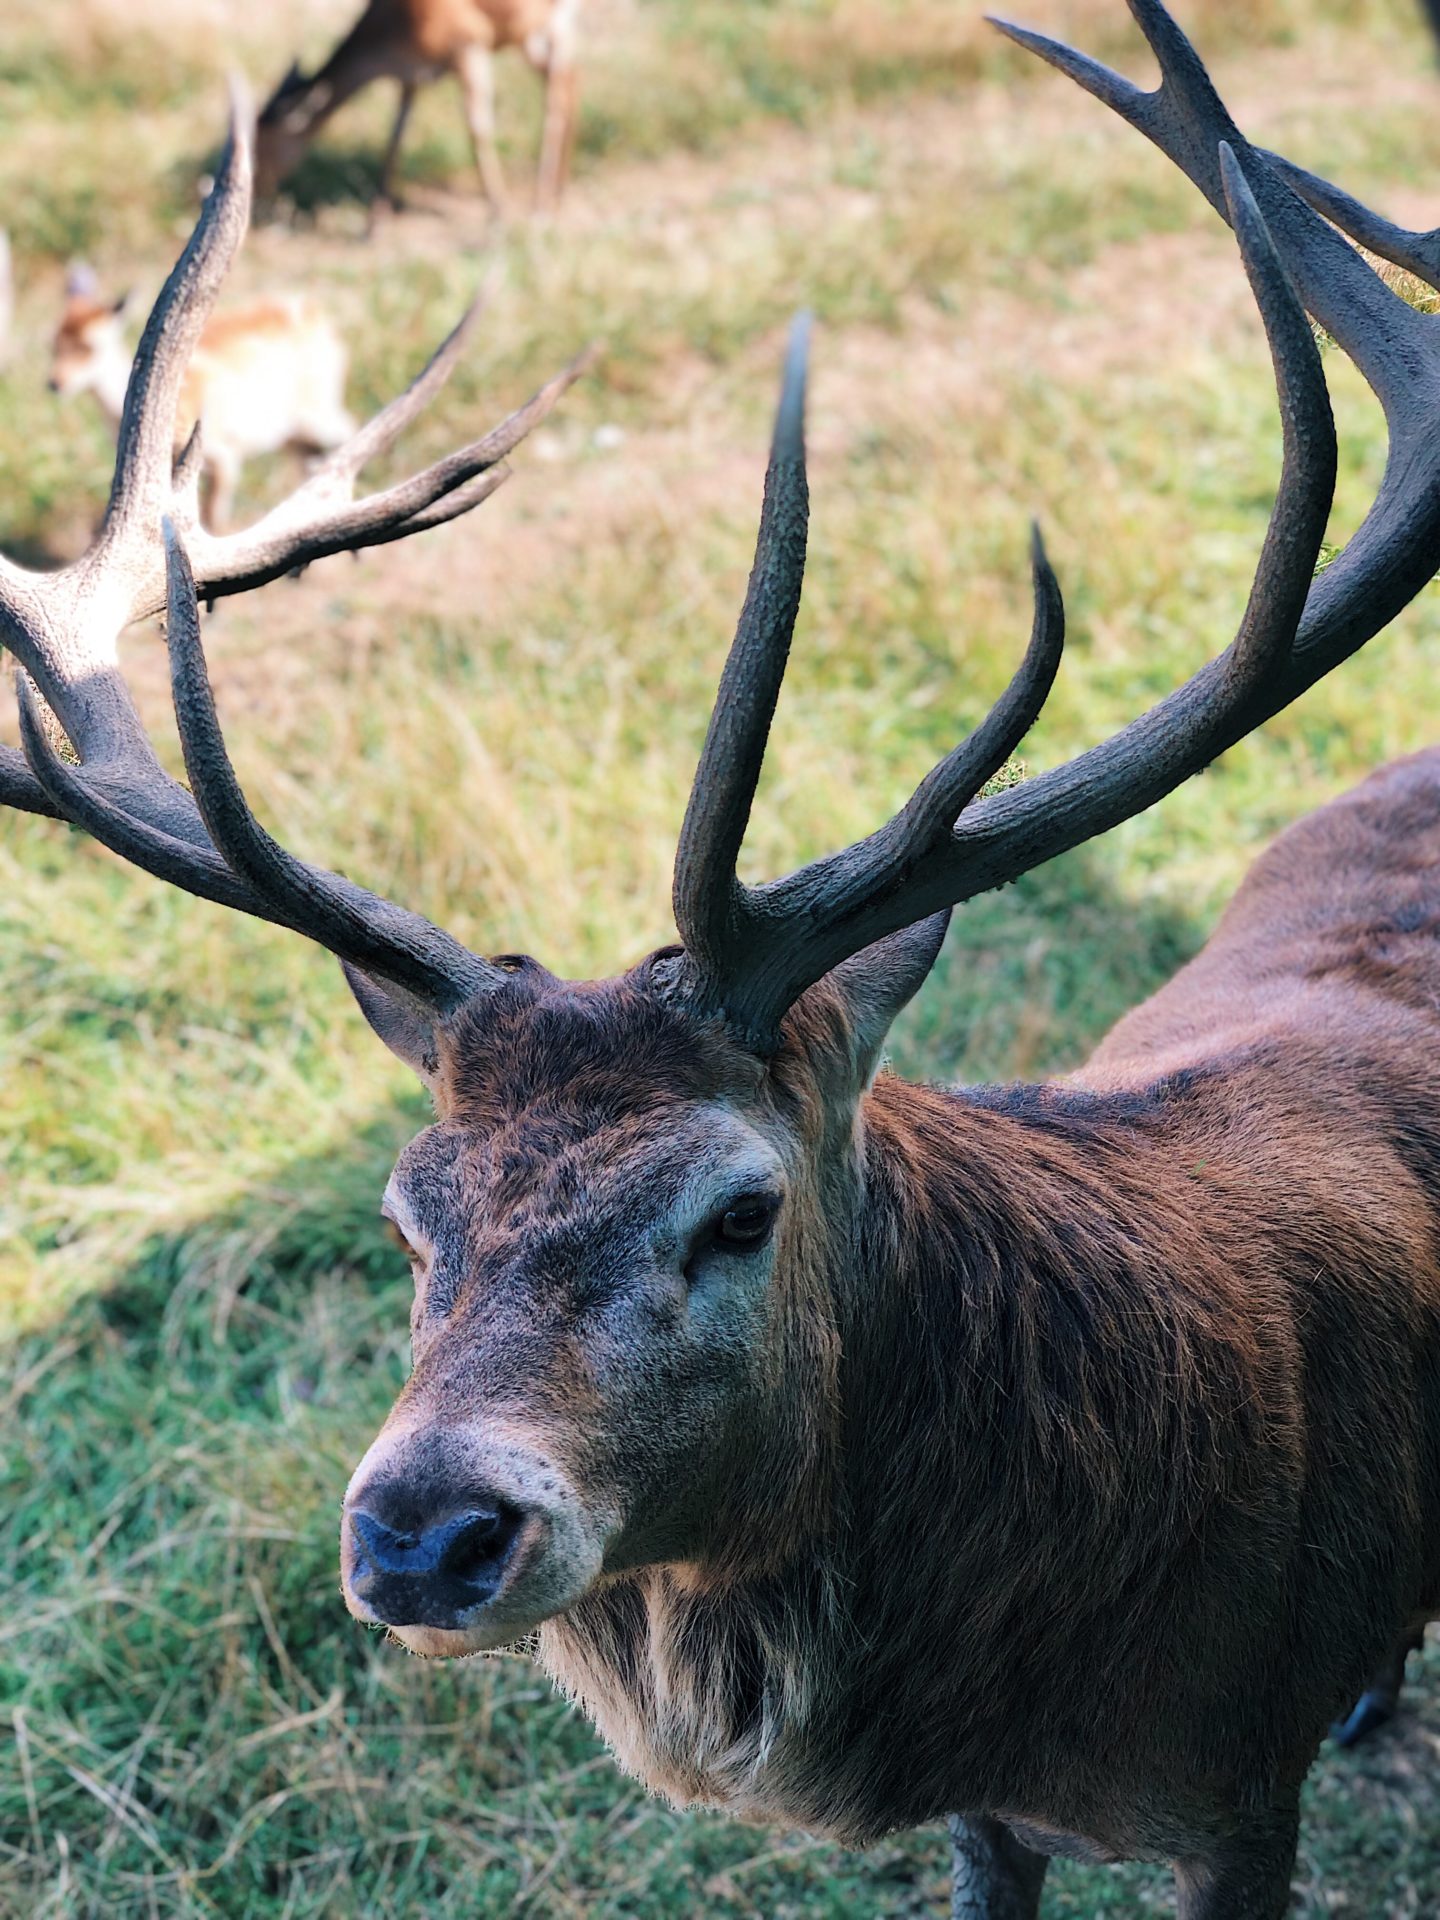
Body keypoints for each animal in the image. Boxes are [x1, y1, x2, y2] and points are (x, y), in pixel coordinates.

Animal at [48, 264, 360, 526]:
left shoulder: (225, 455)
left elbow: (213, 520)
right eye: (52, 343)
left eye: (88, 347)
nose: (54, 383)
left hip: (317, 410)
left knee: (348, 430)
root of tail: (317, 314)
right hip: (295, 433)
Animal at [257, 0, 583, 216]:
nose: (259, 195)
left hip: (555, 22)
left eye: (264, 146)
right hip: (530, 33)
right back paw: (560, 188)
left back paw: (542, 200)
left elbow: (478, 130)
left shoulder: (468, 45)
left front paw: (498, 208)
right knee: (568, 82)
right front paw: (372, 227)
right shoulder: (410, 76)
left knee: (557, 92)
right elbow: (394, 140)